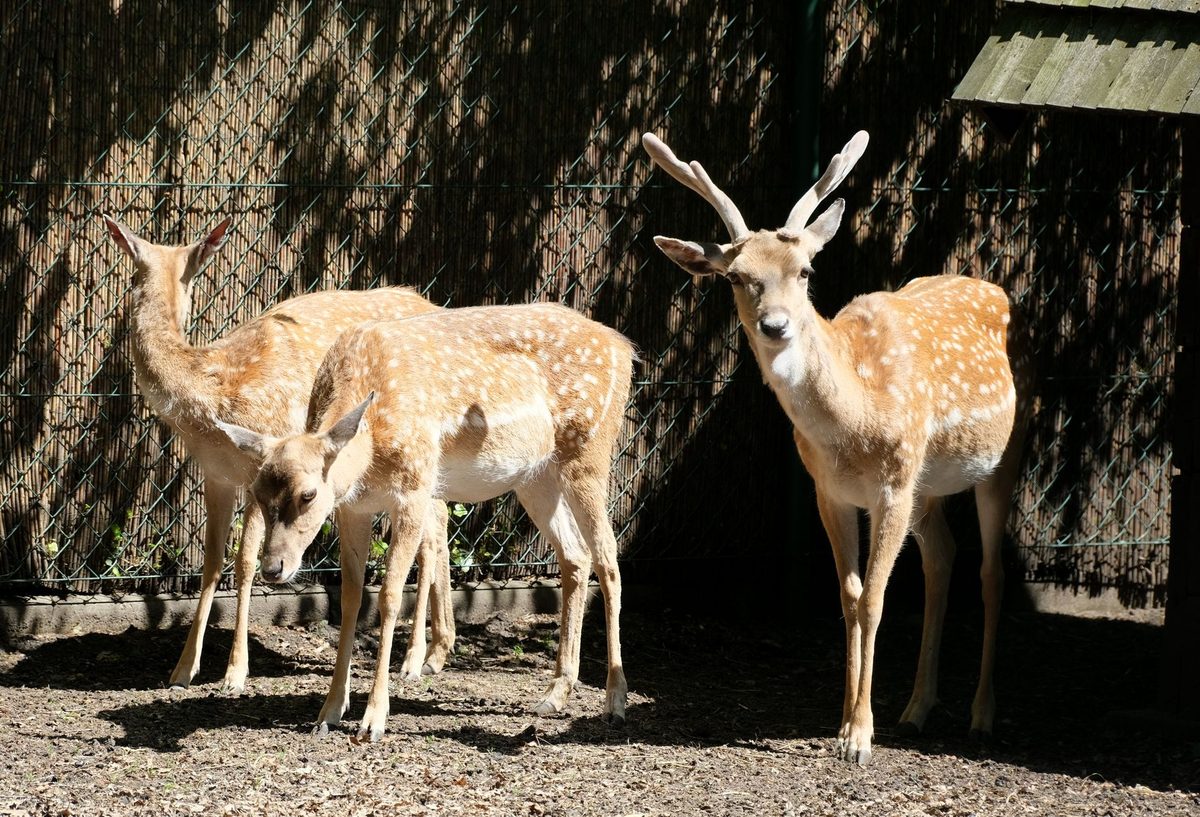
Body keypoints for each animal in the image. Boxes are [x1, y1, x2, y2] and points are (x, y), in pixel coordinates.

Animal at [103, 216, 457, 696]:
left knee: (433, 526)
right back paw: (438, 649)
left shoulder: (262, 460)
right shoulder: (215, 474)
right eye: (137, 267)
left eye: (185, 274)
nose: (131, 297)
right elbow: (211, 561)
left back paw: (417, 657)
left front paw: (235, 672)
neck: (214, 395)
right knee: (439, 518)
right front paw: (182, 669)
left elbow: (246, 561)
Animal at [216, 302, 634, 741]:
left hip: (589, 452)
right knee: (575, 556)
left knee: (608, 559)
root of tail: (625, 349)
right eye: (258, 492)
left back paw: (614, 702)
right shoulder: (353, 507)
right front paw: (329, 711)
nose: (273, 567)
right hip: (535, 477)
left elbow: (389, 596)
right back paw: (554, 694)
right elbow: (350, 599)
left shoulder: (414, 488)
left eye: (308, 494)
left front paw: (373, 720)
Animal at [642, 131, 1030, 765]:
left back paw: (981, 716)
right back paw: (916, 709)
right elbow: (847, 597)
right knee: (943, 556)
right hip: (928, 484)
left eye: (804, 271)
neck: (855, 423)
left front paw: (860, 739)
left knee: (992, 572)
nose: (776, 325)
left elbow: (873, 599)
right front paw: (843, 723)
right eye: (735, 276)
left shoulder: (893, 483)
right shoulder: (829, 490)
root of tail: (997, 287)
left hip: (1002, 457)